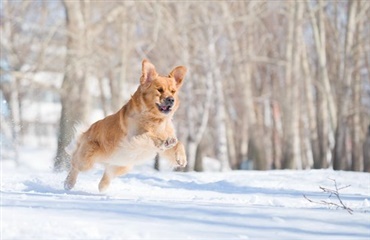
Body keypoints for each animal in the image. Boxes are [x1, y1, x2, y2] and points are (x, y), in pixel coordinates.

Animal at [64, 59, 188, 192]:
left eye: (173, 91)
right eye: (159, 90)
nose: (171, 100)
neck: (156, 119)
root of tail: (86, 132)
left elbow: (178, 143)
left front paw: (181, 158)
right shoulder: (132, 138)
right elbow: (149, 136)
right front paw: (163, 141)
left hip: (122, 165)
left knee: (107, 174)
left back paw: (102, 186)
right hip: (87, 159)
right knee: (75, 164)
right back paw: (68, 183)